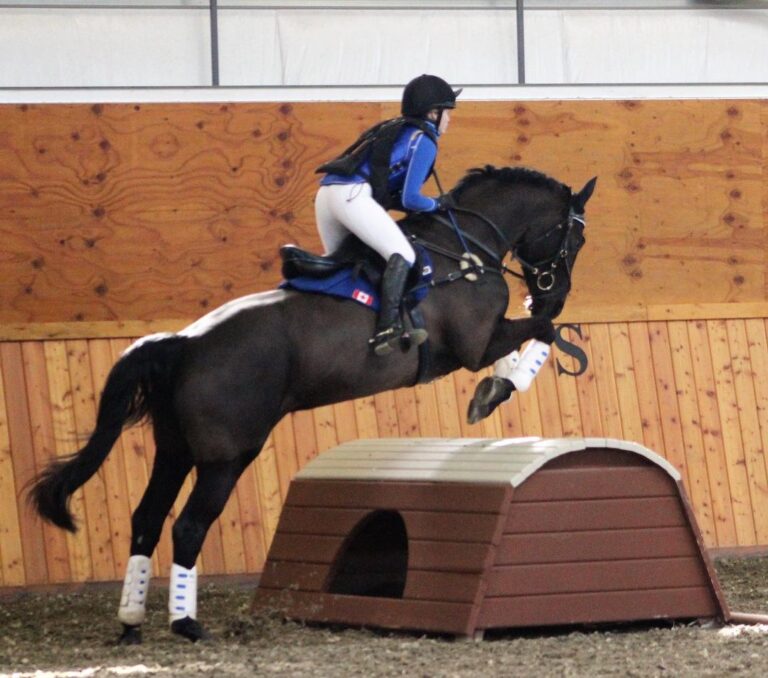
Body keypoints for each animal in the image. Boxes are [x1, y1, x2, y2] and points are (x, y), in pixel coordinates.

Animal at [29, 165, 596, 643]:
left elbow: (538, 334)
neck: (464, 251)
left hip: (175, 451)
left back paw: (131, 621)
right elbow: (541, 334)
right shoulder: (476, 345)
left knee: (146, 519)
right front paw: (497, 389)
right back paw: (186, 623)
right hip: (226, 457)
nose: (554, 292)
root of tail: (184, 343)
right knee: (188, 526)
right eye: (576, 238)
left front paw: (501, 383)